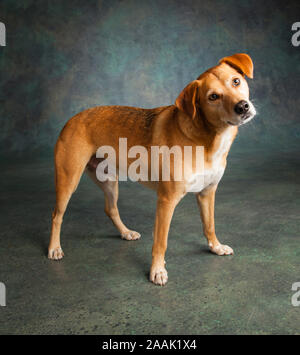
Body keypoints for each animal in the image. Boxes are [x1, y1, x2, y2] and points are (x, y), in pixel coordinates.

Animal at [48, 52, 255, 286]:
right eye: (213, 97)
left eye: (236, 81)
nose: (242, 106)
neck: (207, 138)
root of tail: (72, 119)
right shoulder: (166, 201)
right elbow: (160, 241)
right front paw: (157, 270)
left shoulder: (207, 193)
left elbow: (209, 224)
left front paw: (216, 247)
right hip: (68, 181)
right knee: (57, 214)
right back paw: (54, 248)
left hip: (109, 181)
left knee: (110, 209)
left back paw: (126, 232)